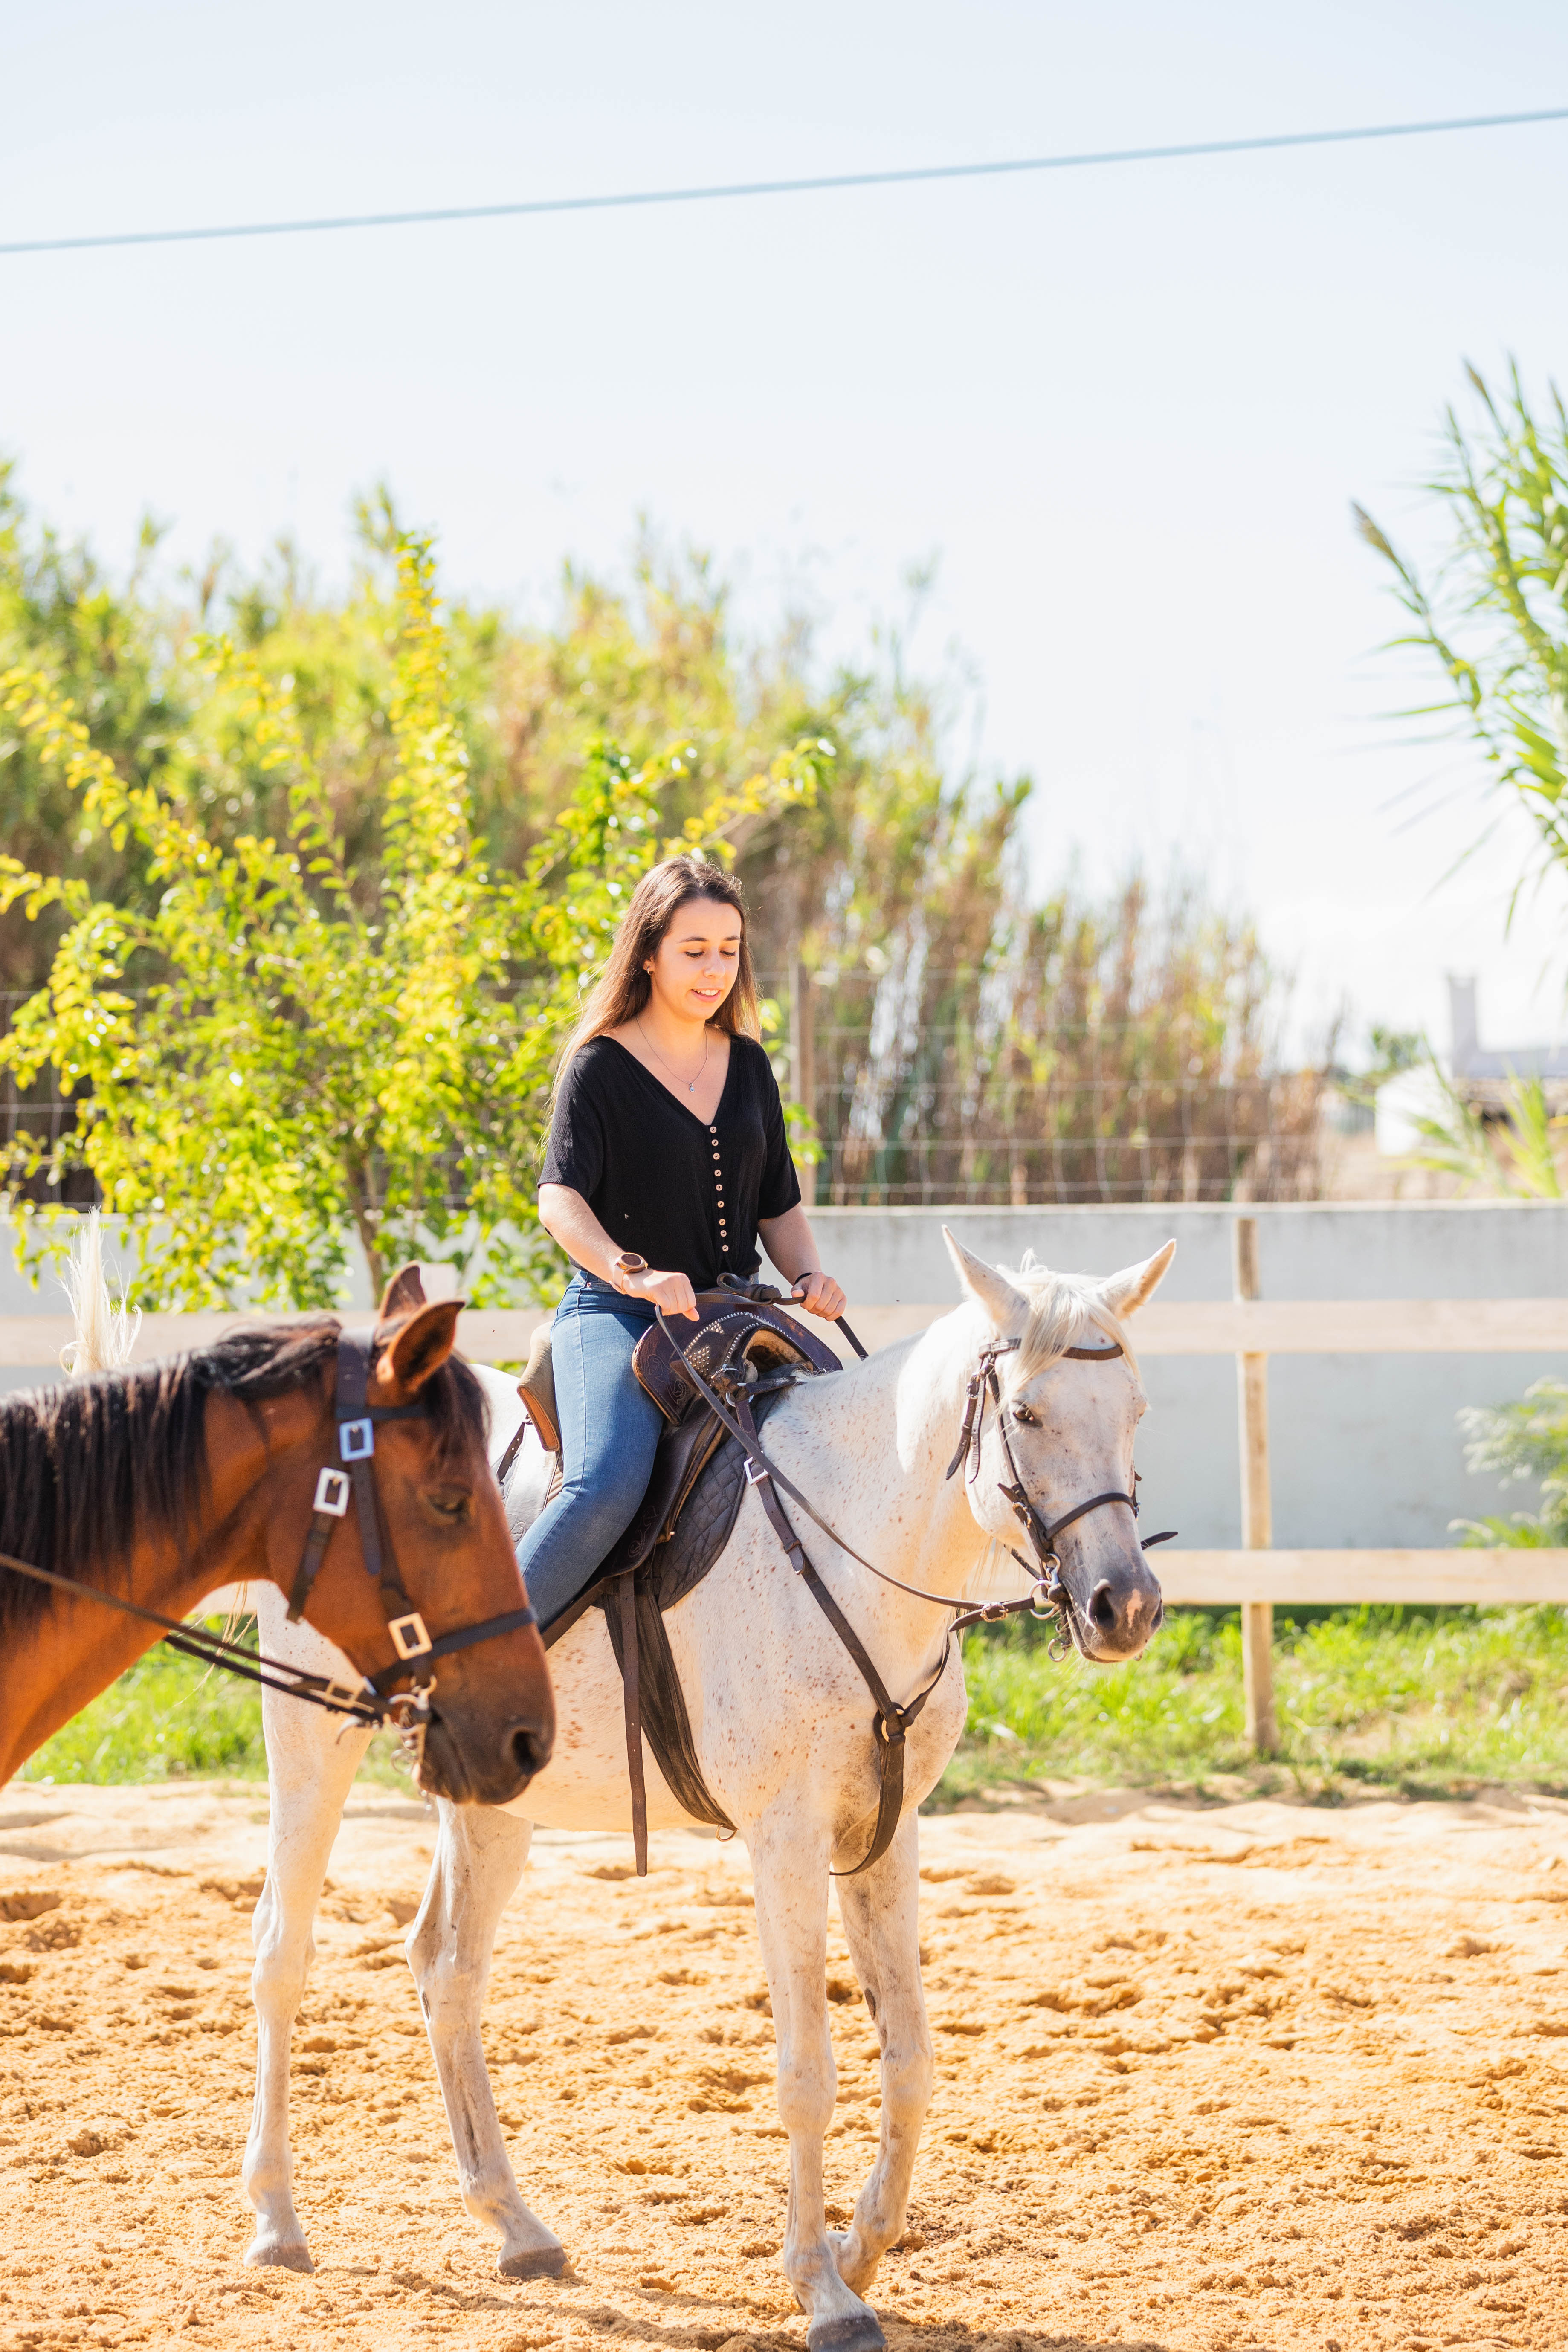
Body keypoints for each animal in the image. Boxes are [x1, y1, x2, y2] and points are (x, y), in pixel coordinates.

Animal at [236, 1232, 1166, 2352]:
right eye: (1025, 1414)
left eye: (1133, 1409)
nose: (1123, 1607)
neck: (849, 1545)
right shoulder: (784, 1840)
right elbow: (807, 2073)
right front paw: (821, 2288)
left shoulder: (886, 1832)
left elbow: (909, 2058)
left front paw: (862, 2246)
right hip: (312, 1737)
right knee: (284, 1955)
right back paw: (277, 2220)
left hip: (492, 1798)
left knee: (444, 1971)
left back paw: (514, 2224)